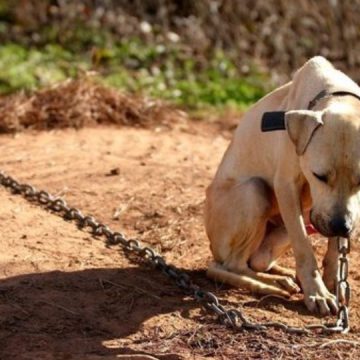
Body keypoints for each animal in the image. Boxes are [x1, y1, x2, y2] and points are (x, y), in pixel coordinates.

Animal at [205, 56, 360, 316]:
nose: (341, 226)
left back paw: (283, 274)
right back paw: (274, 283)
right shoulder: (287, 186)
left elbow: (336, 248)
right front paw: (317, 293)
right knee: (232, 265)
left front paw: (333, 281)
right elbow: (304, 248)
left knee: (255, 262)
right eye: (319, 176)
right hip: (254, 192)